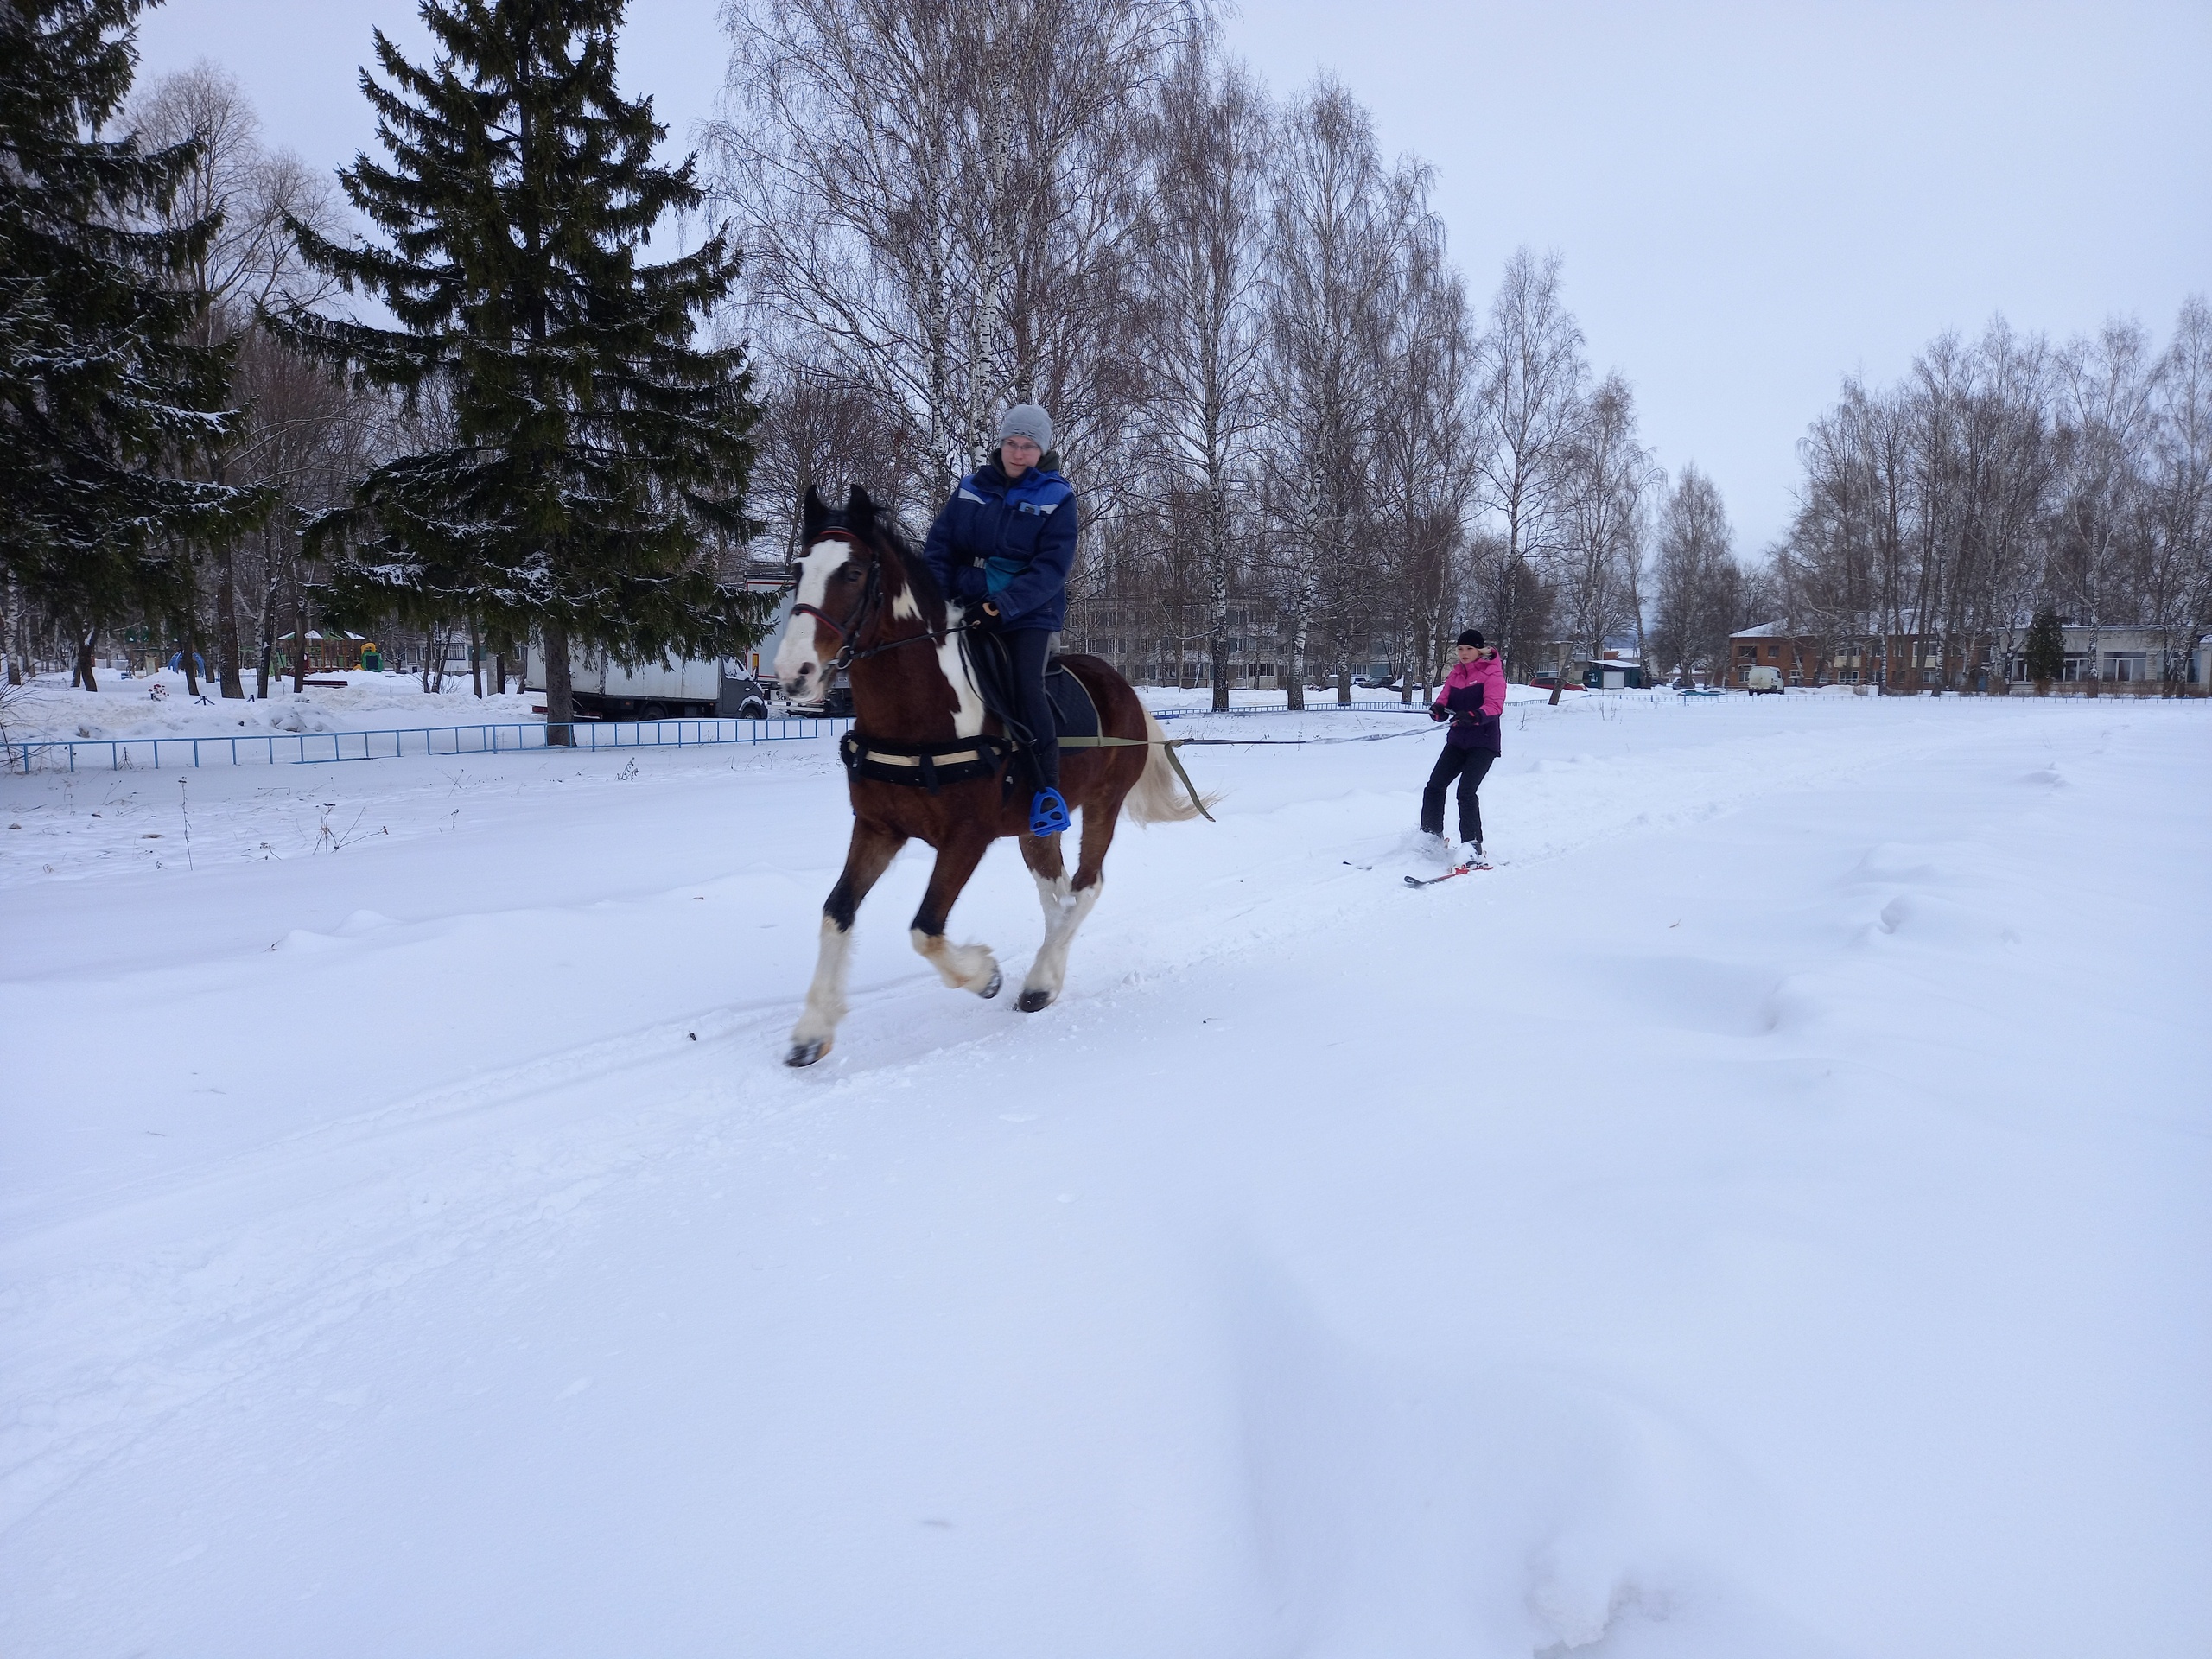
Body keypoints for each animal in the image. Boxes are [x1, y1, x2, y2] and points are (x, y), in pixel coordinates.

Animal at [765, 486, 1211, 1071]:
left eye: (854, 572)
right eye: (798, 570)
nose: (793, 673)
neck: (918, 719)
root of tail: (1123, 687)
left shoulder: (966, 838)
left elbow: (925, 929)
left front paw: (985, 976)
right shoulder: (877, 828)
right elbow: (836, 912)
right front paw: (813, 1029)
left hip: (1103, 805)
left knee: (1086, 887)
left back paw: (1041, 980)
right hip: (1035, 826)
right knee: (1056, 893)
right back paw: (1048, 969)